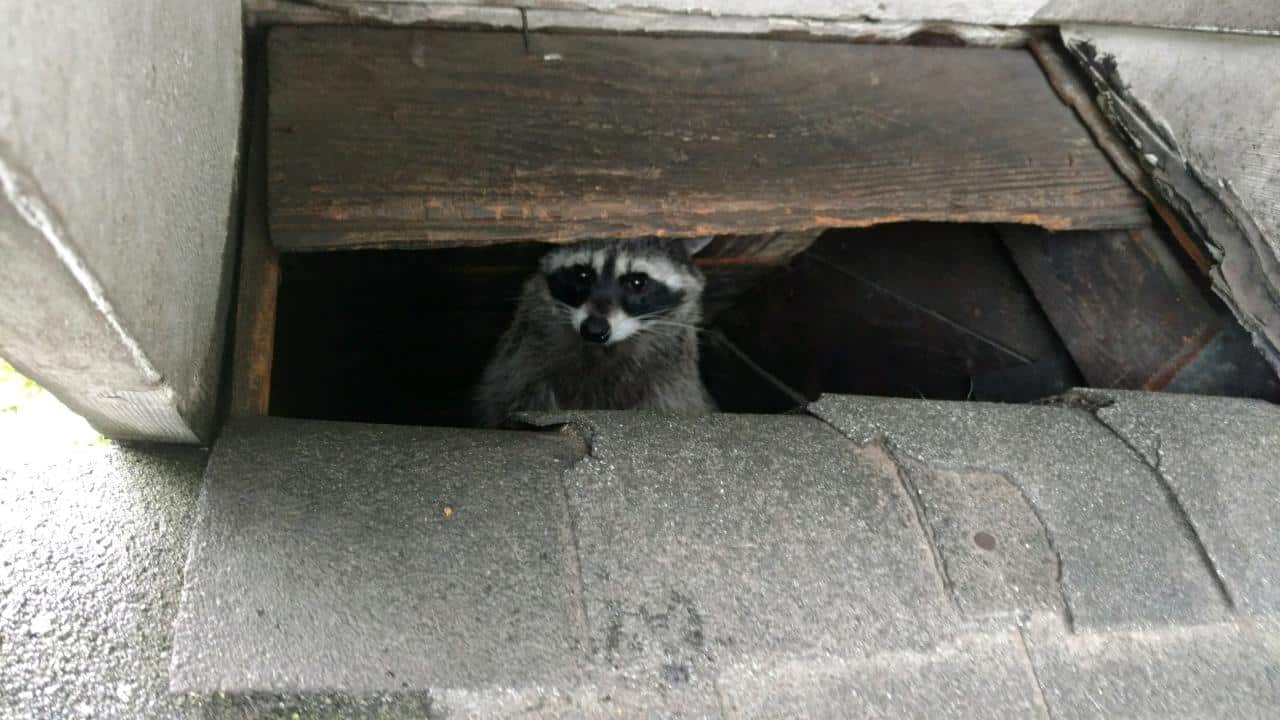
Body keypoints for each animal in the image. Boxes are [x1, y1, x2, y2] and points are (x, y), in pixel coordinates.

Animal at [473, 236, 716, 427]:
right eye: (583, 275)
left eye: (637, 282)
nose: (594, 329)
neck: (604, 349)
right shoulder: (523, 360)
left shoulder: (671, 381)